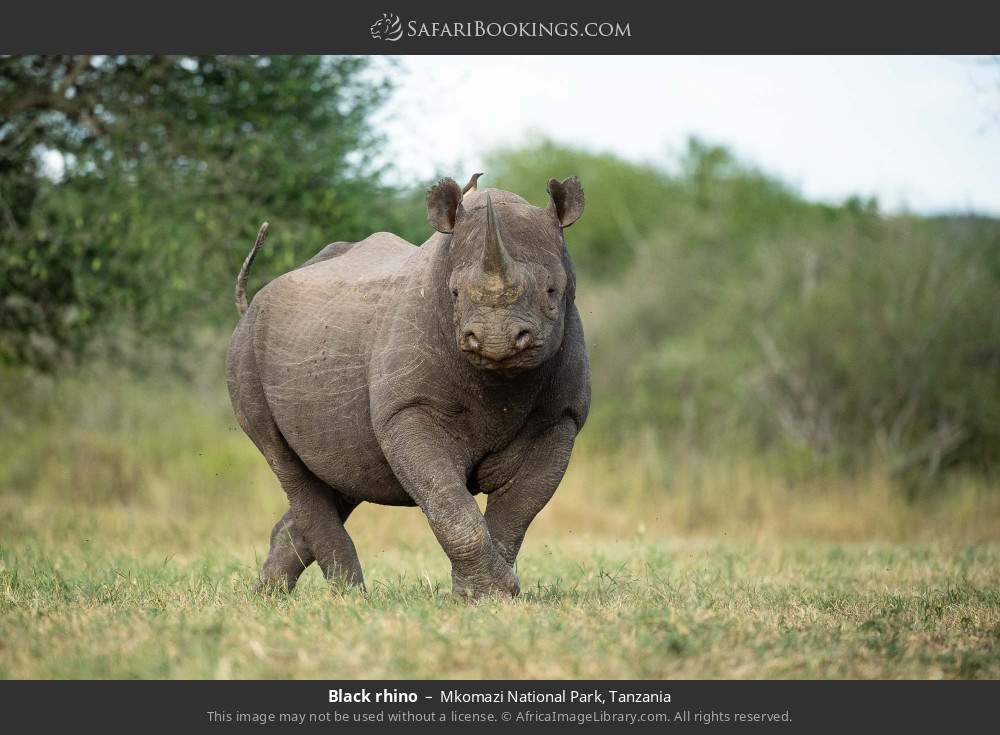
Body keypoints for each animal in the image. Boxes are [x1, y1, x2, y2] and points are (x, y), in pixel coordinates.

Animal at [226, 174, 590, 598]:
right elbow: (449, 505)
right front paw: (486, 594)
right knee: (285, 463)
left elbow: (517, 511)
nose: (496, 339)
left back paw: (272, 595)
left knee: (341, 474)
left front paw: (491, 594)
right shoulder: (407, 409)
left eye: (552, 292)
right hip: (245, 354)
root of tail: (253, 303)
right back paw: (350, 598)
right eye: (453, 293)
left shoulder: (560, 419)